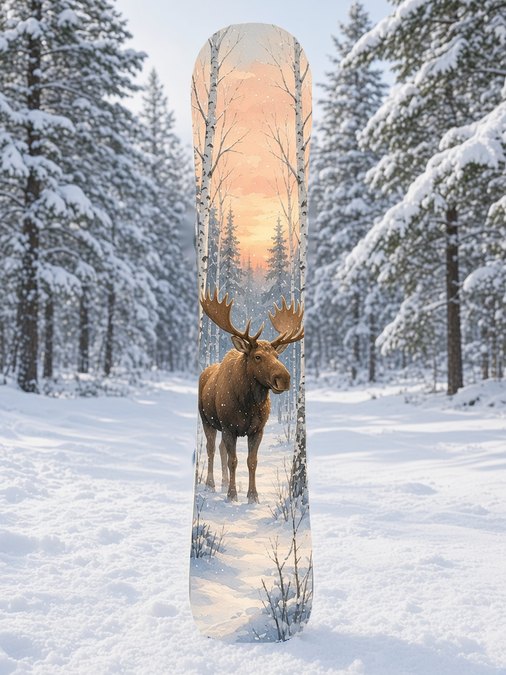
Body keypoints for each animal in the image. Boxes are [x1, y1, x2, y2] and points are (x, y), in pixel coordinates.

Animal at [198, 289, 304, 503]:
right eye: (257, 356)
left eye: (277, 356)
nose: (284, 378)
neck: (248, 404)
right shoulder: (229, 427)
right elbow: (233, 460)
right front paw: (232, 495)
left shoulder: (257, 429)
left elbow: (252, 461)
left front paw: (253, 496)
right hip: (207, 420)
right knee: (211, 448)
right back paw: (211, 484)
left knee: (220, 448)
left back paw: (223, 482)